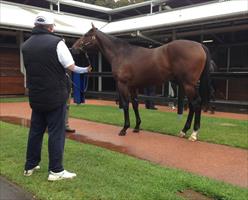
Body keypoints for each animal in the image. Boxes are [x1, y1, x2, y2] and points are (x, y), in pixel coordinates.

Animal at [71, 23, 211, 141]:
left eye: (86, 35)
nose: (73, 48)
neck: (121, 53)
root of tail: (200, 45)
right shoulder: (133, 87)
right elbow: (135, 104)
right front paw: (137, 127)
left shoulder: (123, 85)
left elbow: (125, 104)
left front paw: (124, 128)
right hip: (185, 84)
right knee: (192, 105)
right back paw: (184, 131)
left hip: (188, 84)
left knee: (196, 103)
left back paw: (193, 134)